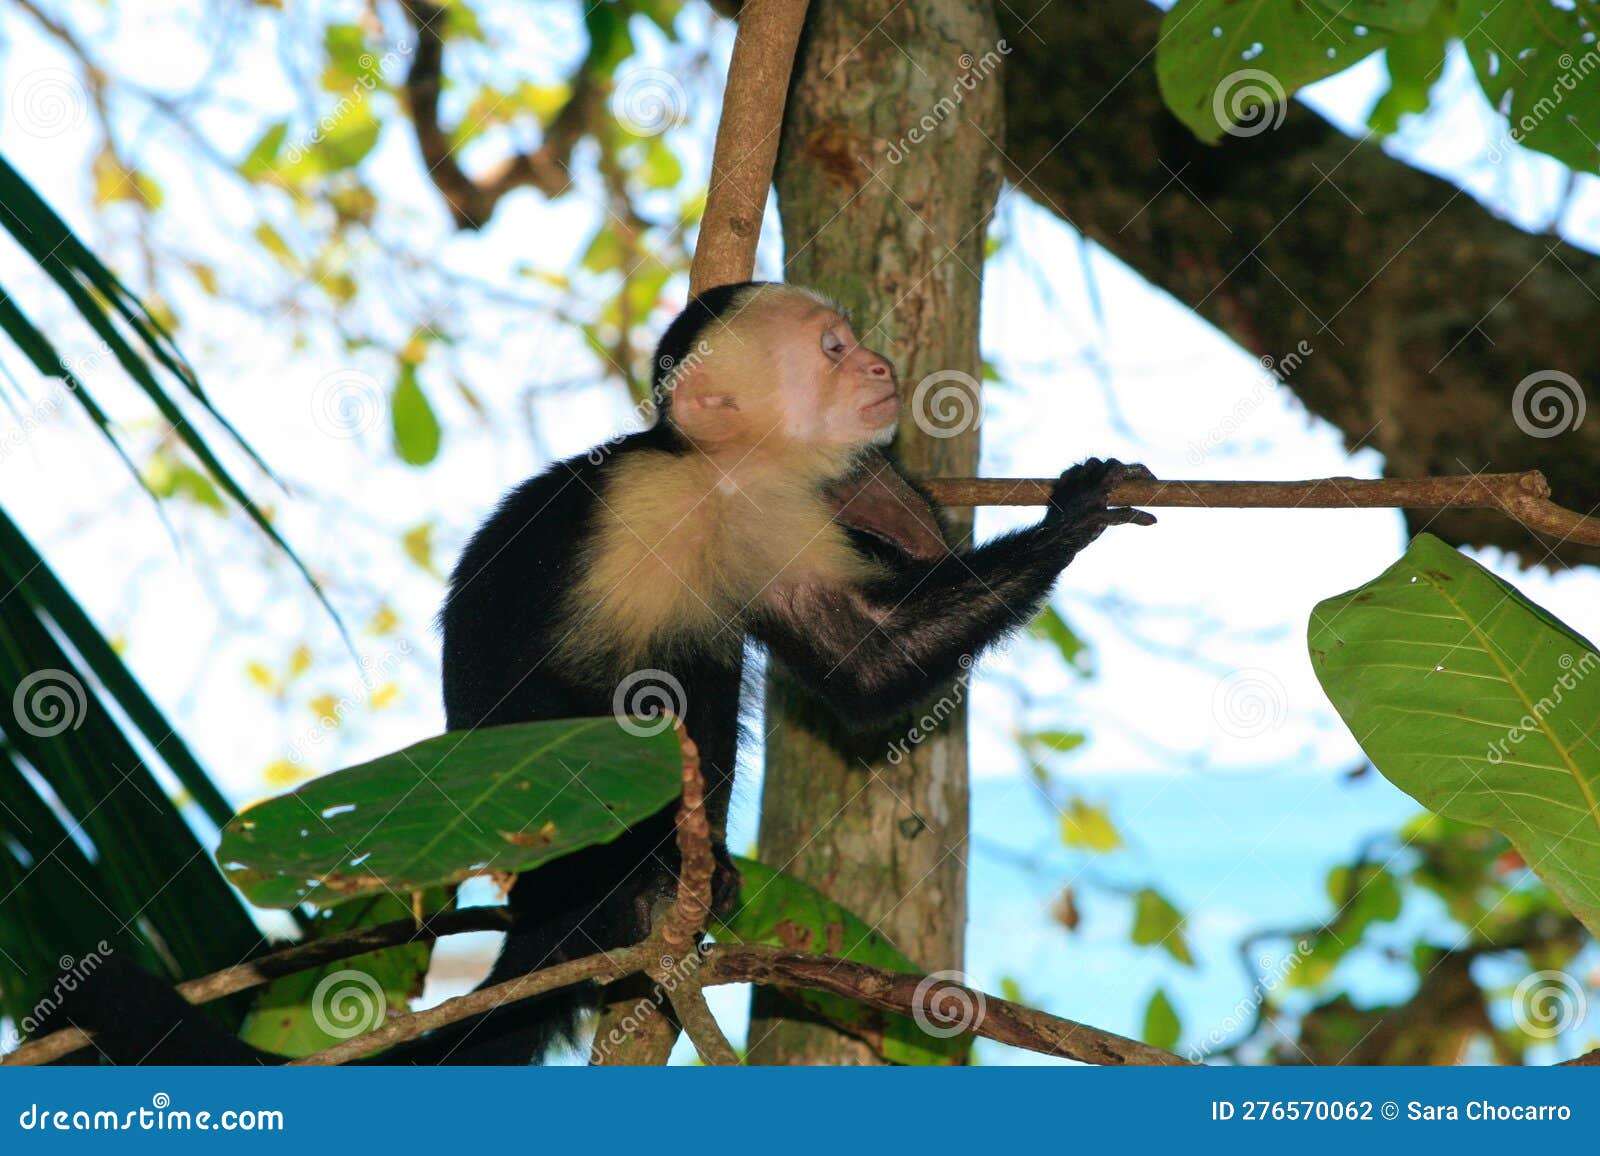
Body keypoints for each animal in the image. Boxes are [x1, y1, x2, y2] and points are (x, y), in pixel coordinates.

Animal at [34, 281, 1152, 1063]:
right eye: (833, 350)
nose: (878, 364)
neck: (717, 480)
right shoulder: (641, 507)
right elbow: (565, 703)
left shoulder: (777, 522)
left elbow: (862, 661)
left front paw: (1074, 519)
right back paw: (642, 884)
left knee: (712, 660)